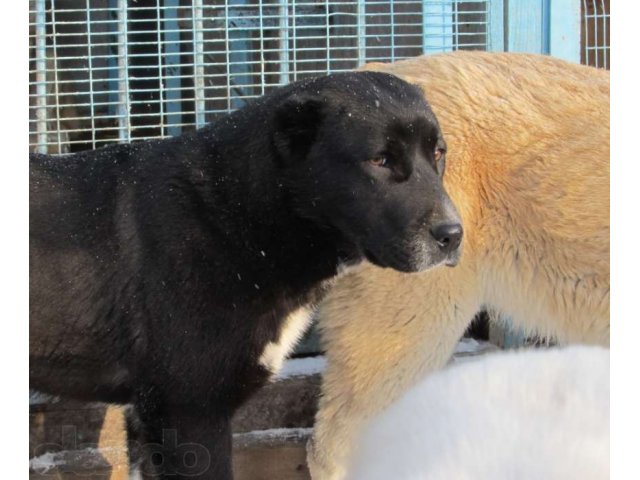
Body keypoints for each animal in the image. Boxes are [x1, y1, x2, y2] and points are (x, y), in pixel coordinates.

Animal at [30, 69, 462, 478]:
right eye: (379, 160)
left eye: (438, 153)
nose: (453, 235)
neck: (238, 213)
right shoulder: (189, 411)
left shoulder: (148, 414)